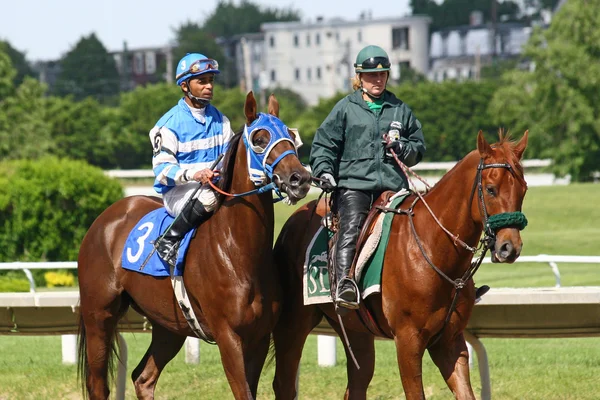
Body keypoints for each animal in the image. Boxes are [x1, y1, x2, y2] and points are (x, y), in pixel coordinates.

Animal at [77, 92, 312, 398]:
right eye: (260, 138)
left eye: (291, 137)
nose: (300, 179)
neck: (239, 254)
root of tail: (104, 219)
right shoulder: (228, 336)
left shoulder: (259, 337)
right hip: (99, 315)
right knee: (98, 385)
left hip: (169, 325)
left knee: (143, 377)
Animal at [272, 130, 528, 398]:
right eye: (490, 189)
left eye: (523, 189)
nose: (510, 247)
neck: (431, 246)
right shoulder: (407, 340)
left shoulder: (450, 340)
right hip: (293, 323)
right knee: (283, 383)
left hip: (355, 328)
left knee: (356, 384)